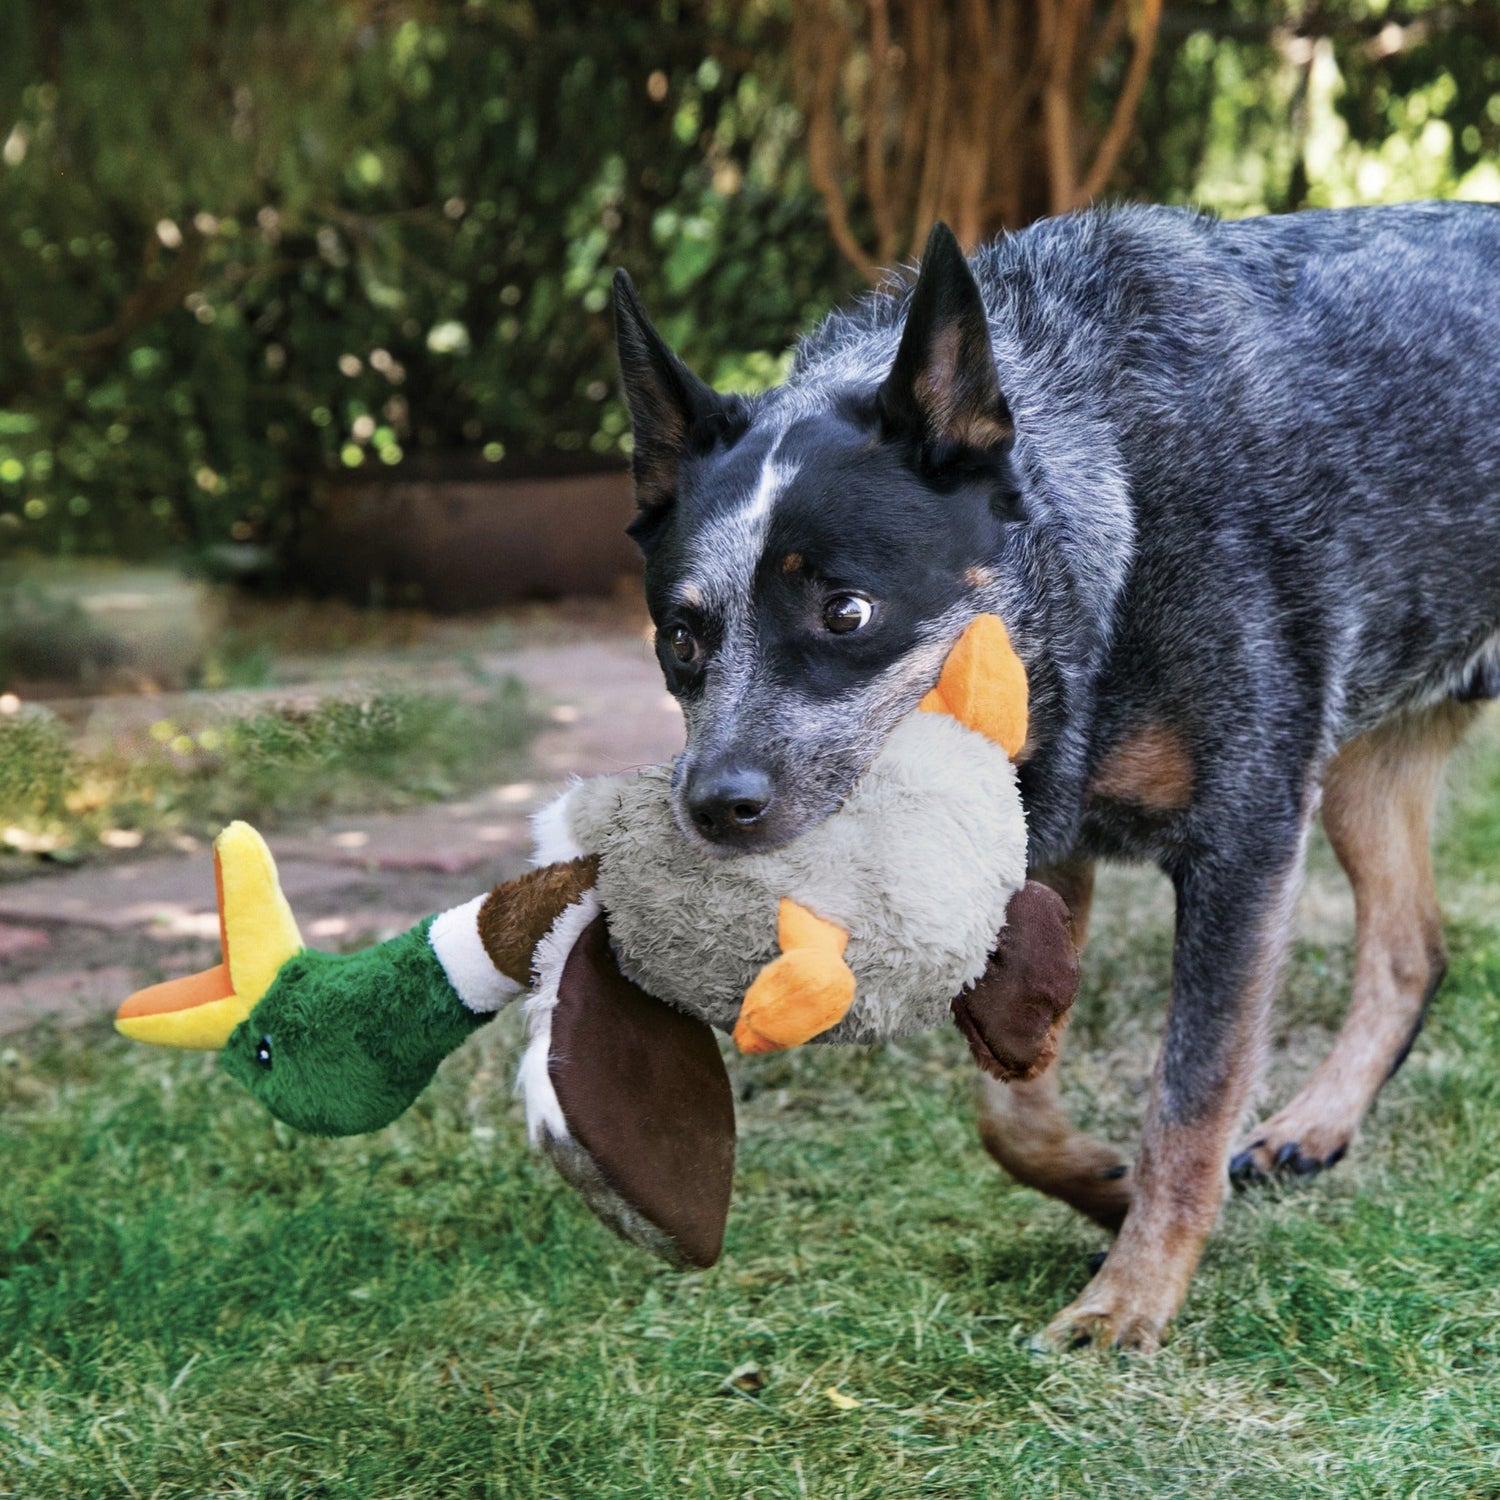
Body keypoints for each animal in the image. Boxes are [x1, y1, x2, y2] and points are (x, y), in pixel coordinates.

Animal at [606, 199, 1500, 1350]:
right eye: (680, 636)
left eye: (846, 610)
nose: (715, 804)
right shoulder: (1043, 844)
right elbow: (1010, 1105)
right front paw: (1101, 1188)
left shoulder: (1244, 834)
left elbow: (1190, 1095)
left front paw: (1131, 1300)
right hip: (1360, 766)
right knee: (1410, 950)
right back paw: (1315, 1124)